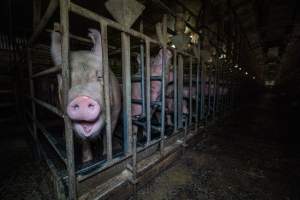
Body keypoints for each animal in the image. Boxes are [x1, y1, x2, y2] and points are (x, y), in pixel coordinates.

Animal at [51, 28, 121, 162]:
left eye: (100, 77)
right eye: (67, 80)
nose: (82, 99)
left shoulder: (116, 111)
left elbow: (108, 134)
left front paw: (106, 155)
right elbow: (84, 141)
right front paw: (87, 161)